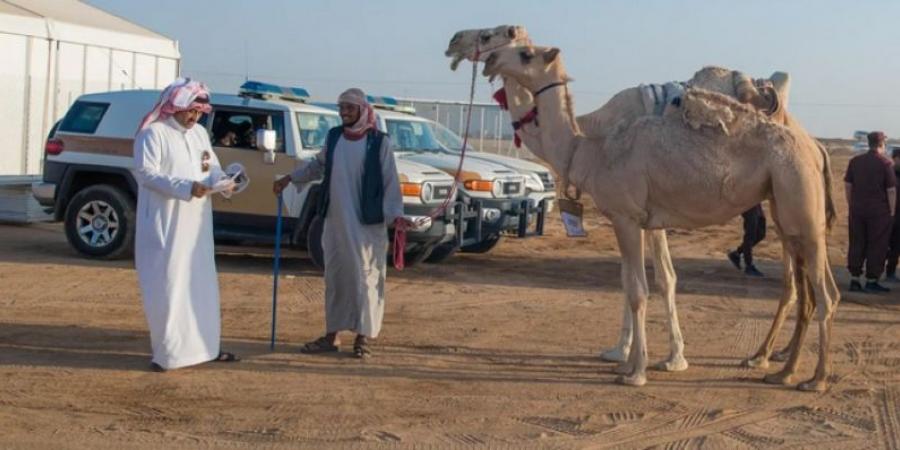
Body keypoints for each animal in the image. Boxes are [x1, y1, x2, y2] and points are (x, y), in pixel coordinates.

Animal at [446, 28, 832, 374]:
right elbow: (638, 283)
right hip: (786, 206)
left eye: (520, 50)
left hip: (798, 200)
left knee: (816, 292)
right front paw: (631, 358)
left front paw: (639, 369)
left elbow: (640, 289)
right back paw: (779, 364)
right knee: (809, 289)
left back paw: (808, 377)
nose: (458, 44)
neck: (589, 148)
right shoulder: (642, 219)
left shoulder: (627, 216)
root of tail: (814, 148)